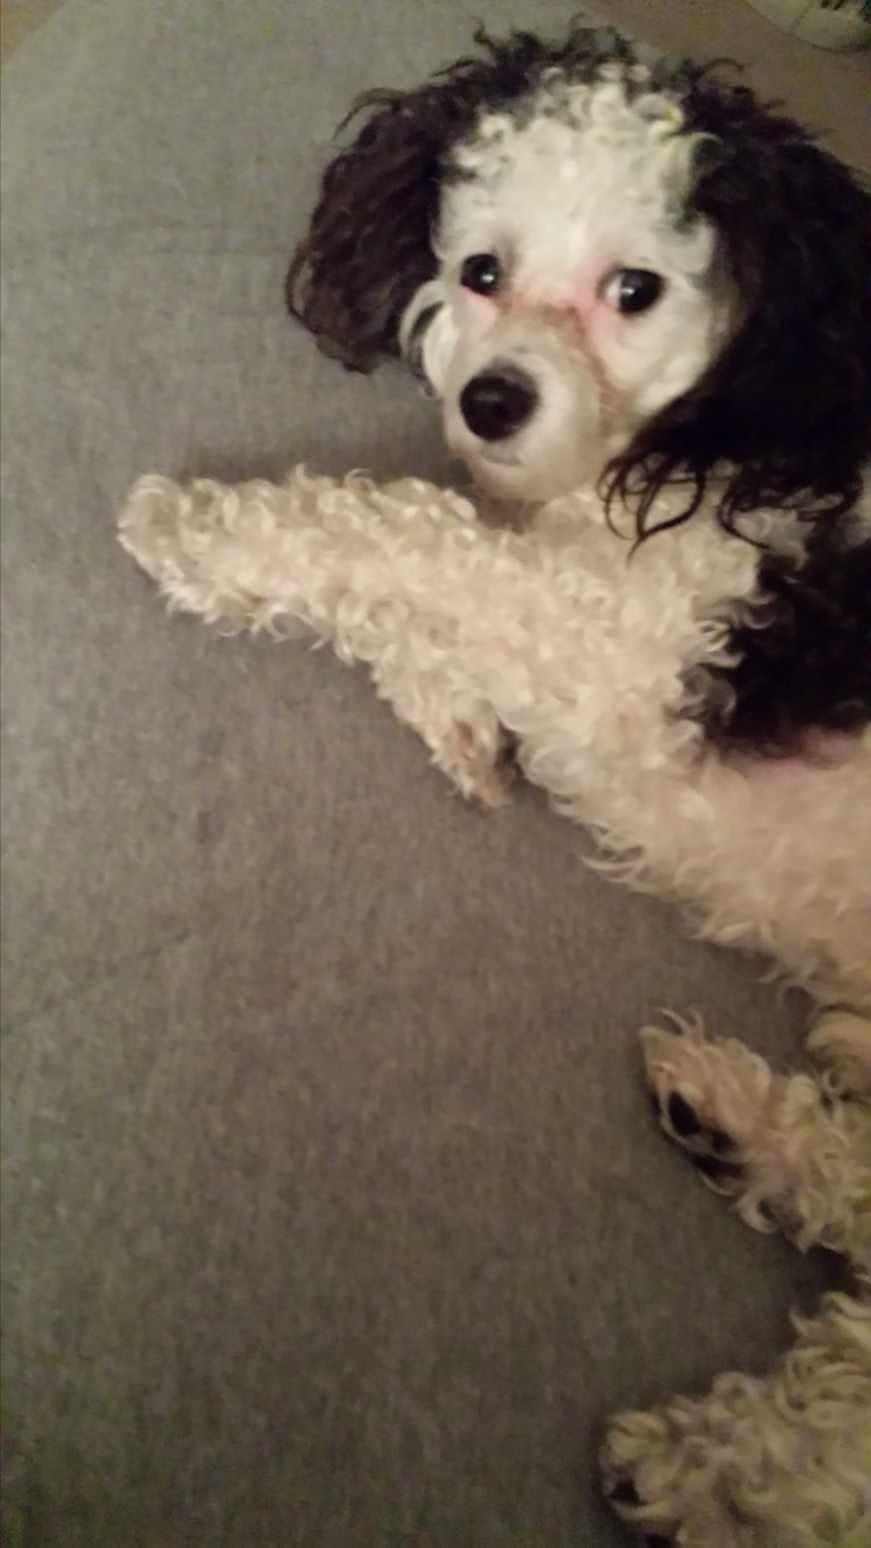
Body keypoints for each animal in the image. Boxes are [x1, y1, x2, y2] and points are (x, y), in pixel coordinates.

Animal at [120, 24, 871, 1548]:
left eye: (633, 290)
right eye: (478, 270)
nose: (488, 396)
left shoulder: (618, 642)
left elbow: (402, 531)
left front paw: (200, 529)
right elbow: (435, 562)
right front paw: (456, 721)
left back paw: (707, 1472)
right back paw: (738, 1128)